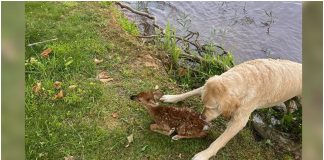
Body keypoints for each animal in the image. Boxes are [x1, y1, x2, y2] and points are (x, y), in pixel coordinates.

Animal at [159, 58, 302, 159]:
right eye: (203, 103)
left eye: (213, 108)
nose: (202, 117)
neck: (246, 78)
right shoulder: (207, 85)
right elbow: (190, 92)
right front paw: (171, 98)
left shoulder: (239, 121)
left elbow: (219, 141)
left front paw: (203, 155)